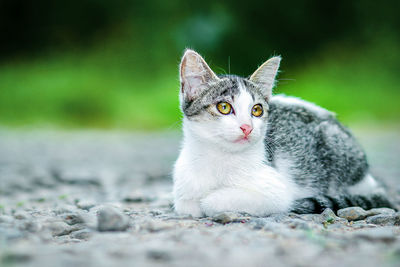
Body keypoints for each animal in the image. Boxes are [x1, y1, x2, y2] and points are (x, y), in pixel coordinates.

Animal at [173, 49, 396, 219]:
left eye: (257, 110)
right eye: (224, 107)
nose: (247, 127)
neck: (219, 158)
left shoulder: (276, 191)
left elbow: (212, 201)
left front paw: (208, 200)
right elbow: (185, 204)